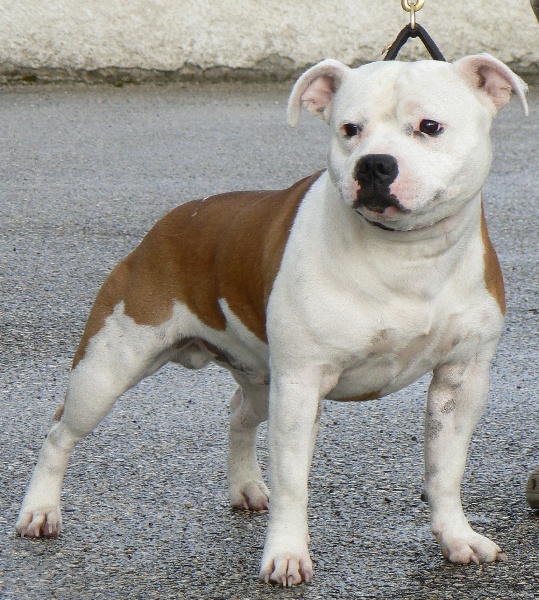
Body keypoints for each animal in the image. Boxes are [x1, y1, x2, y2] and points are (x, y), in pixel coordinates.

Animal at [16, 53, 528, 586]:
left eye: (430, 127)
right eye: (350, 129)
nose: (374, 164)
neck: (408, 254)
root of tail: (173, 220)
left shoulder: (461, 378)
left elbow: (445, 470)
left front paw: (457, 537)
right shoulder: (301, 384)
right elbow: (292, 483)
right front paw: (286, 555)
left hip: (262, 380)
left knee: (239, 415)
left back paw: (244, 486)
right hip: (108, 368)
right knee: (59, 432)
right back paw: (39, 511)